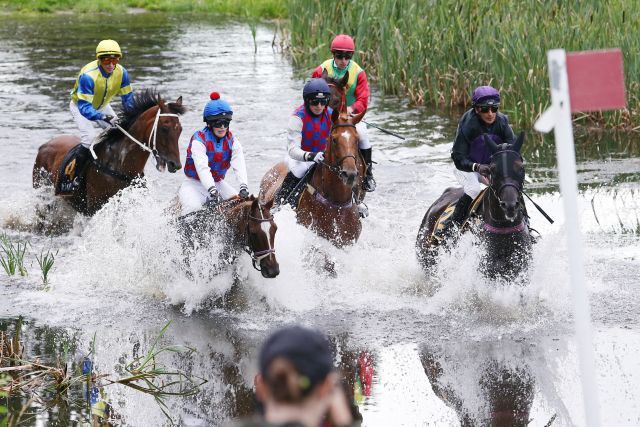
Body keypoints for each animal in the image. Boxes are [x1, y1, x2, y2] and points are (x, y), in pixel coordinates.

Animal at [33, 90, 185, 217]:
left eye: (180, 129)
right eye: (164, 128)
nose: (175, 164)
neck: (119, 163)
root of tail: (43, 145)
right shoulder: (95, 207)